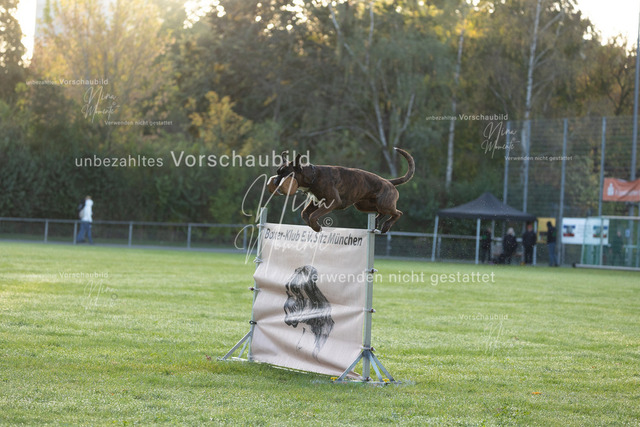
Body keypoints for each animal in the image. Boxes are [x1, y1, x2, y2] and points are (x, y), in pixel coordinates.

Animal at [273, 147, 415, 233]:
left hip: (384, 204)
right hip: (363, 205)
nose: (275, 182)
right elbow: (304, 213)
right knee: (383, 212)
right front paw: (313, 225)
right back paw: (377, 221)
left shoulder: (332, 202)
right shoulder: (317, 202)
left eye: (286, 174)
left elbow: (313, 215)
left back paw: (386, 226)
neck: (314, 176)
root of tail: (388, 181)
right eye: (278, 172)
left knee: (398, 213)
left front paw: (316, 226)